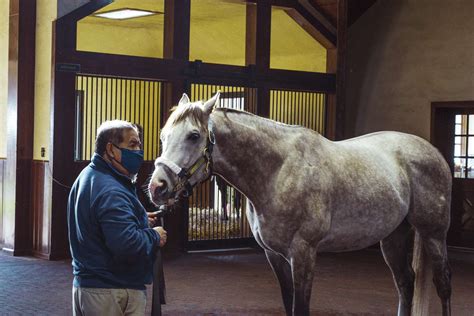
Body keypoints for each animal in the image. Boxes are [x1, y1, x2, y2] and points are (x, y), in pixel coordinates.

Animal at [148, 93, 452, 316]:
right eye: (163, 135)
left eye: (193, 136)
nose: (157, 187)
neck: (278, 171)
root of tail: (434, 152)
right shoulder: (275, 255)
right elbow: (288, 302)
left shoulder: (304, 253)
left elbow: (301, 307)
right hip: (393, 236)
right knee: (406, 283)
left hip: (434, 234)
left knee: (443, 283)